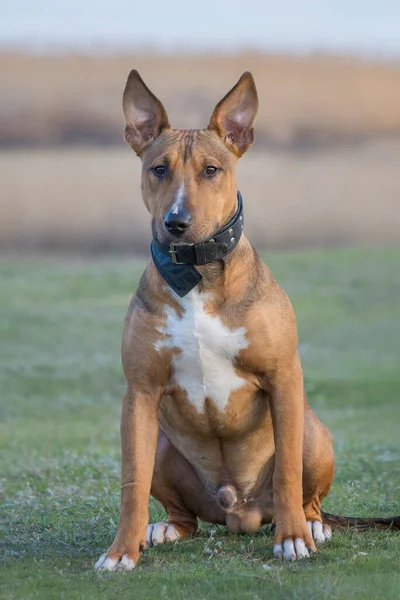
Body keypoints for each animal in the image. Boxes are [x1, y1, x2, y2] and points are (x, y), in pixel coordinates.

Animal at [95, 71, 398, 572]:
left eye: (211, 170)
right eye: (158, 169)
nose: (176, 222)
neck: (197, 273)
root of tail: (239, 510)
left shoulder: (283, 377)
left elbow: (289, 473)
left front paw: (293, 540)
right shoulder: (139, 393)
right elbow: (131, 484)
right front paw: (121, 552)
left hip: (311, 429)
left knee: (304, 493)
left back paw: (310, 524)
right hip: (161, 442)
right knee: (186, 516)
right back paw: (164, 528)